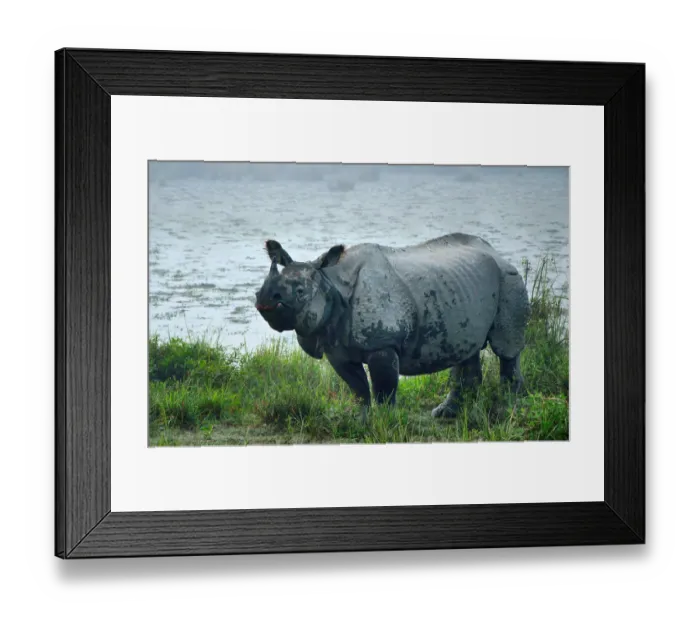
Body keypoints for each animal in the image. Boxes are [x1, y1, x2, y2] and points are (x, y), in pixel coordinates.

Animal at [254, 233, 530, 423]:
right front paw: (361, 422)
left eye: (300, 292)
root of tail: (496, 252)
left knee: (506, 348)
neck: (329, 283)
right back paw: (447, 414)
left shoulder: (384, 343)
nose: (264, 299)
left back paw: (507, 410)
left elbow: (384, 390)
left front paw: (386, 423)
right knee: (466, 350)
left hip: (509, 278)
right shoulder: (336, 348)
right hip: (464, 285)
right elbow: (358, 389)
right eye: (259, 289)